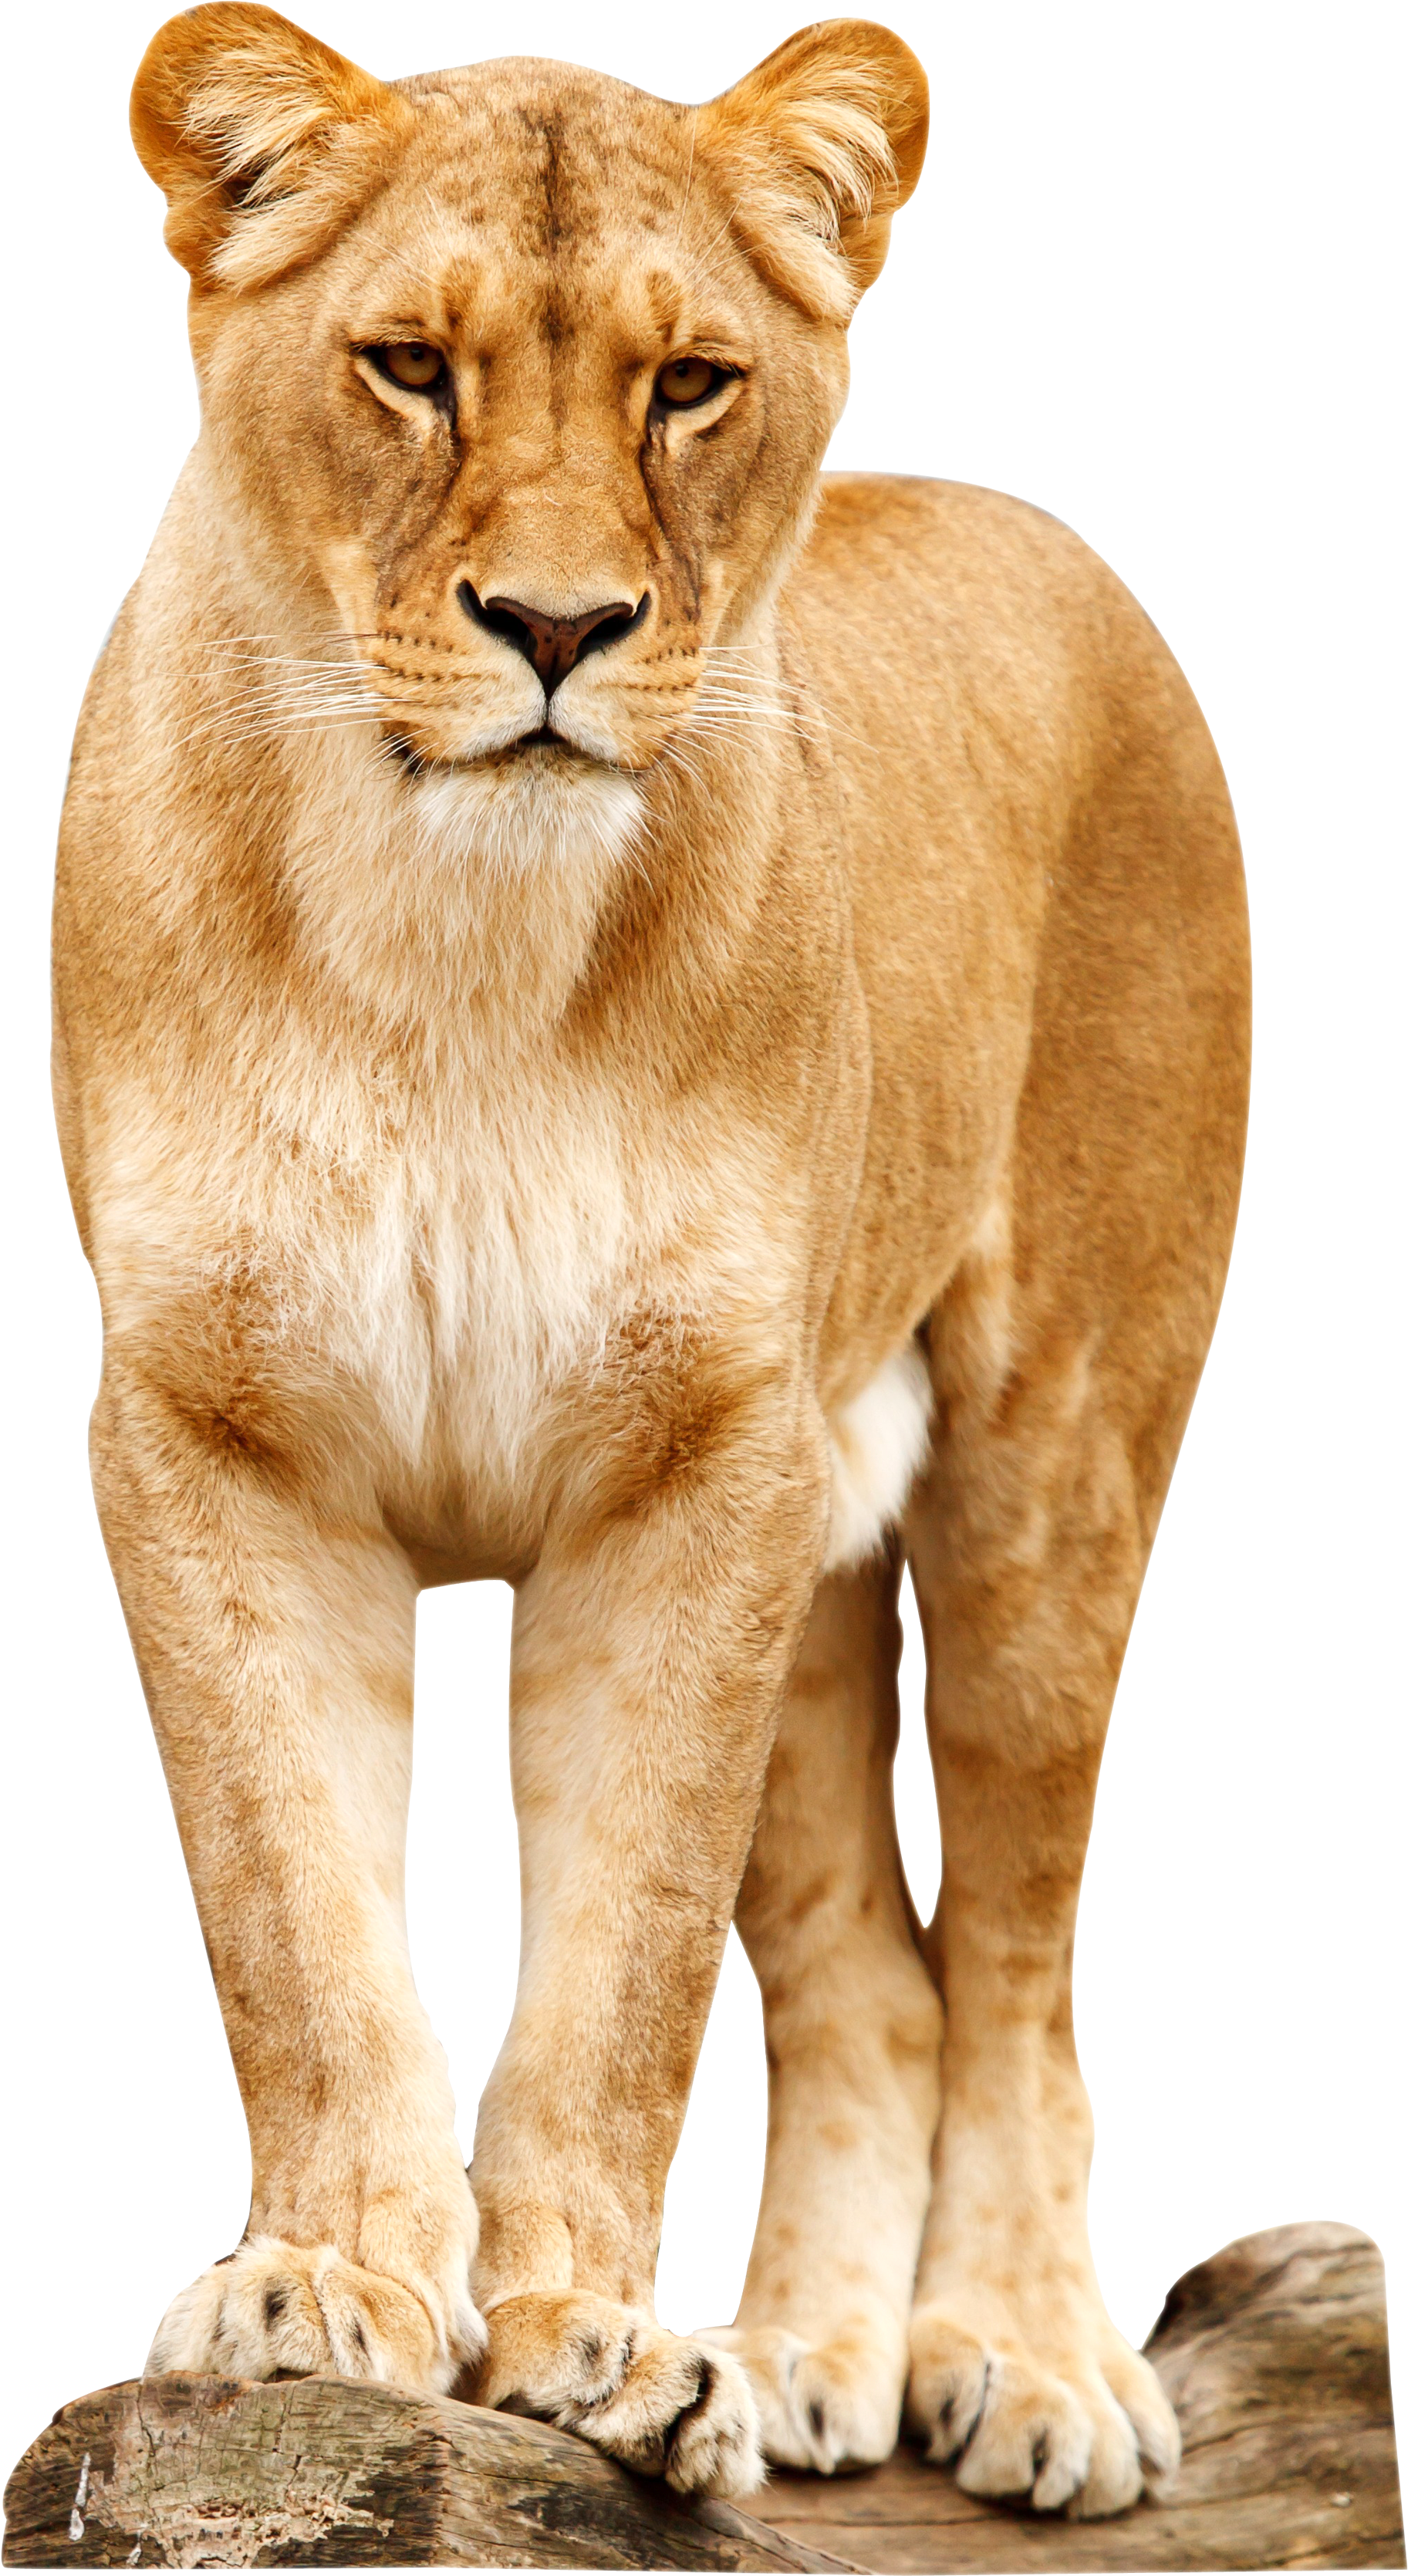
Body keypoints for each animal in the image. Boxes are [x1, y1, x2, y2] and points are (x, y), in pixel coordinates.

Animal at [51, 1, 1251, 2517]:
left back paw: (1024, 2362)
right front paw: (326, 2293)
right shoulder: (214, 1436)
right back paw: (799, 2362)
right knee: (877, 1980)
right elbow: (298, 1920)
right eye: (407, 367)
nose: (556, 630)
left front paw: (581, 2343)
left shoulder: (693, 1466)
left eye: (690, 384)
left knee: (1011, 1958)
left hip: (1047, 1467)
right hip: (817, 1554)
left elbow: (618, 1971)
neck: (449, 933)